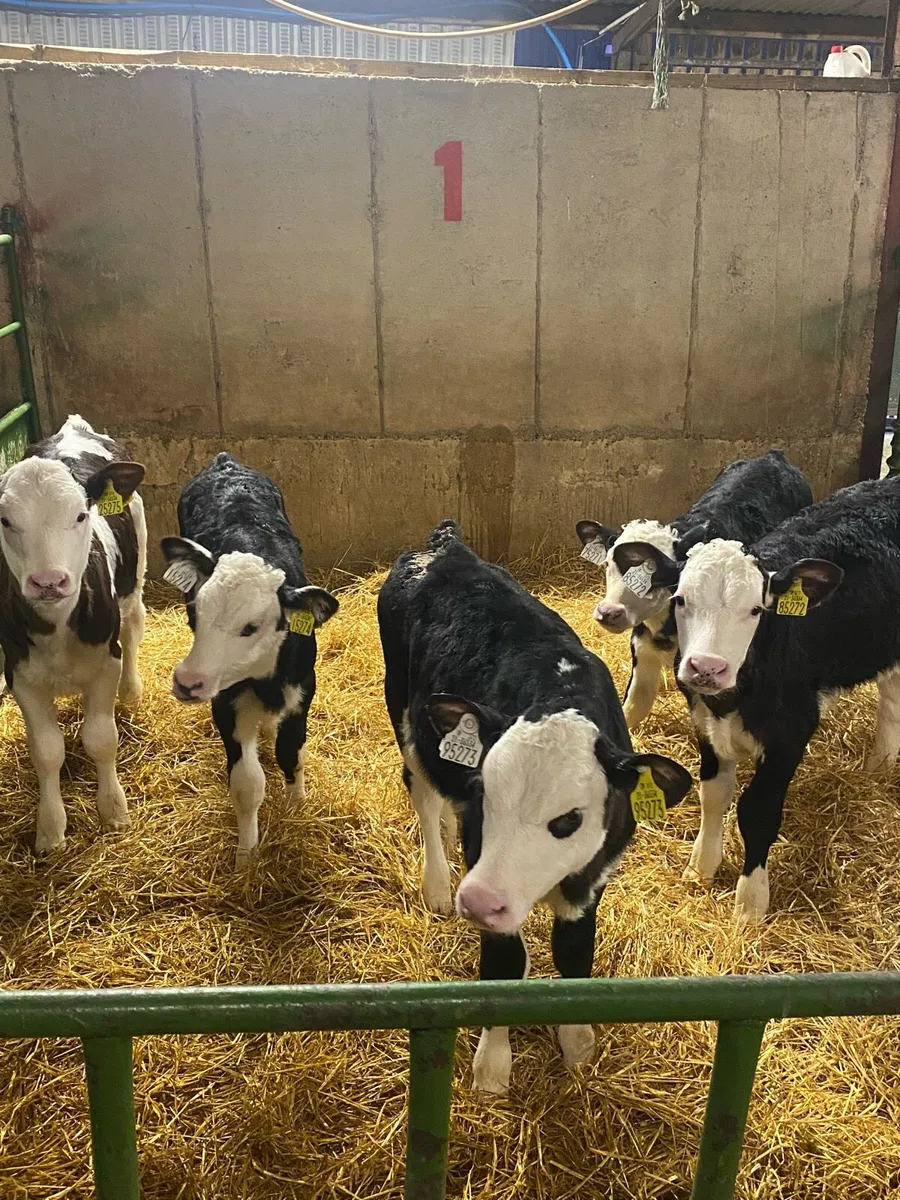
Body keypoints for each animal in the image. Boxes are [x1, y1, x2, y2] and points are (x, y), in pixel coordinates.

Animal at [0, 415, 146, 852]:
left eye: (81, 515)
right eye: (5, 520)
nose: (49, 581)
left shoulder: (105, 663)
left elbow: (100, 738)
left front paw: (113, 809)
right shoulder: (20, 674)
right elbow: (47, 750)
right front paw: (50, 828)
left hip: (137, 570)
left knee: (134, 625)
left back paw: (131, 692)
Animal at [160, 453, 339, 866]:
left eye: (251, 626)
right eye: (193, 613)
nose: (187, 682)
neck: (266, 681)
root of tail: (224, 461)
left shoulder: (302, 691)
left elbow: (291, 752)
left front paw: (296, 804)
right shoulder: (226, 702)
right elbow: (246, 783)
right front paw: (247, 856)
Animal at [378, 520, 691, 1093]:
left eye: (569, 819)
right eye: (485, 796)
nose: (476, 900)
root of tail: (448, 546)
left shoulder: (592, 878)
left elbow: (574, 952)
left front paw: (578, 1043)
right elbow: (506, 962)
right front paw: (492, 1067)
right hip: (406, 715)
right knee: (423, 793)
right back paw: (437, 884)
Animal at [576, 450, 813, 728]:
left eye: (655, 575)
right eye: (608, 563)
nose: (609, 612)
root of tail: (774, 455)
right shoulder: (642, 650)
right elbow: (633, 708)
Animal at [624, 474, 900, 925]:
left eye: (756, 609)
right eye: (680, 599)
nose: (706, 667)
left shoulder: (790, 733)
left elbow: (758, 811)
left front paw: (749, 903)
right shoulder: (705, 721)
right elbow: (713, 795)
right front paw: (702, 865)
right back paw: (880, 765)